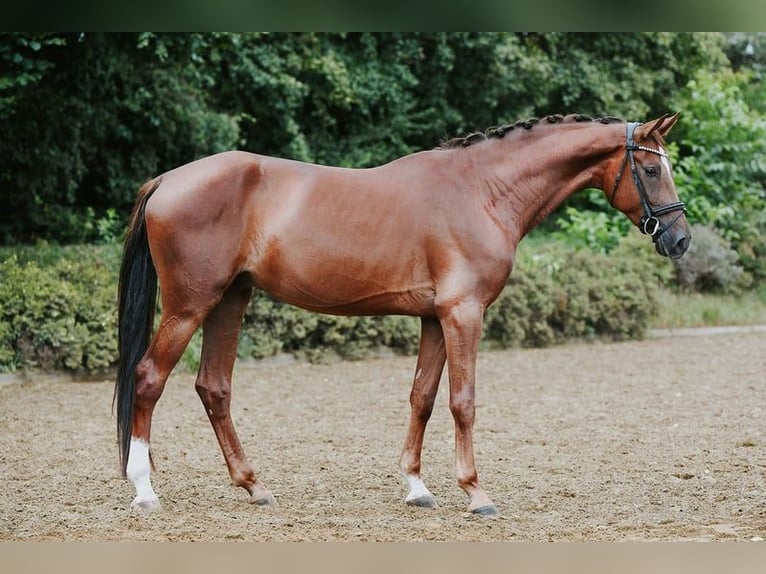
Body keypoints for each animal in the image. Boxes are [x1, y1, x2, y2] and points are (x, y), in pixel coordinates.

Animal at [115, 113, 690, 516]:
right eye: (651, 169)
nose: (680, 240)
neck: (481, 191)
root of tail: (167, 180)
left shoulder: (435, 319)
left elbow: (423, 398)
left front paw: (417, 487)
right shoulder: (464, 315)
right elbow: (462, 402)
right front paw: (476, 493)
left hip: (230, 301)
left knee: (213, 388)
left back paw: (255, 486)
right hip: (191, 306)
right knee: (148, 379)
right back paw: (145, 490)